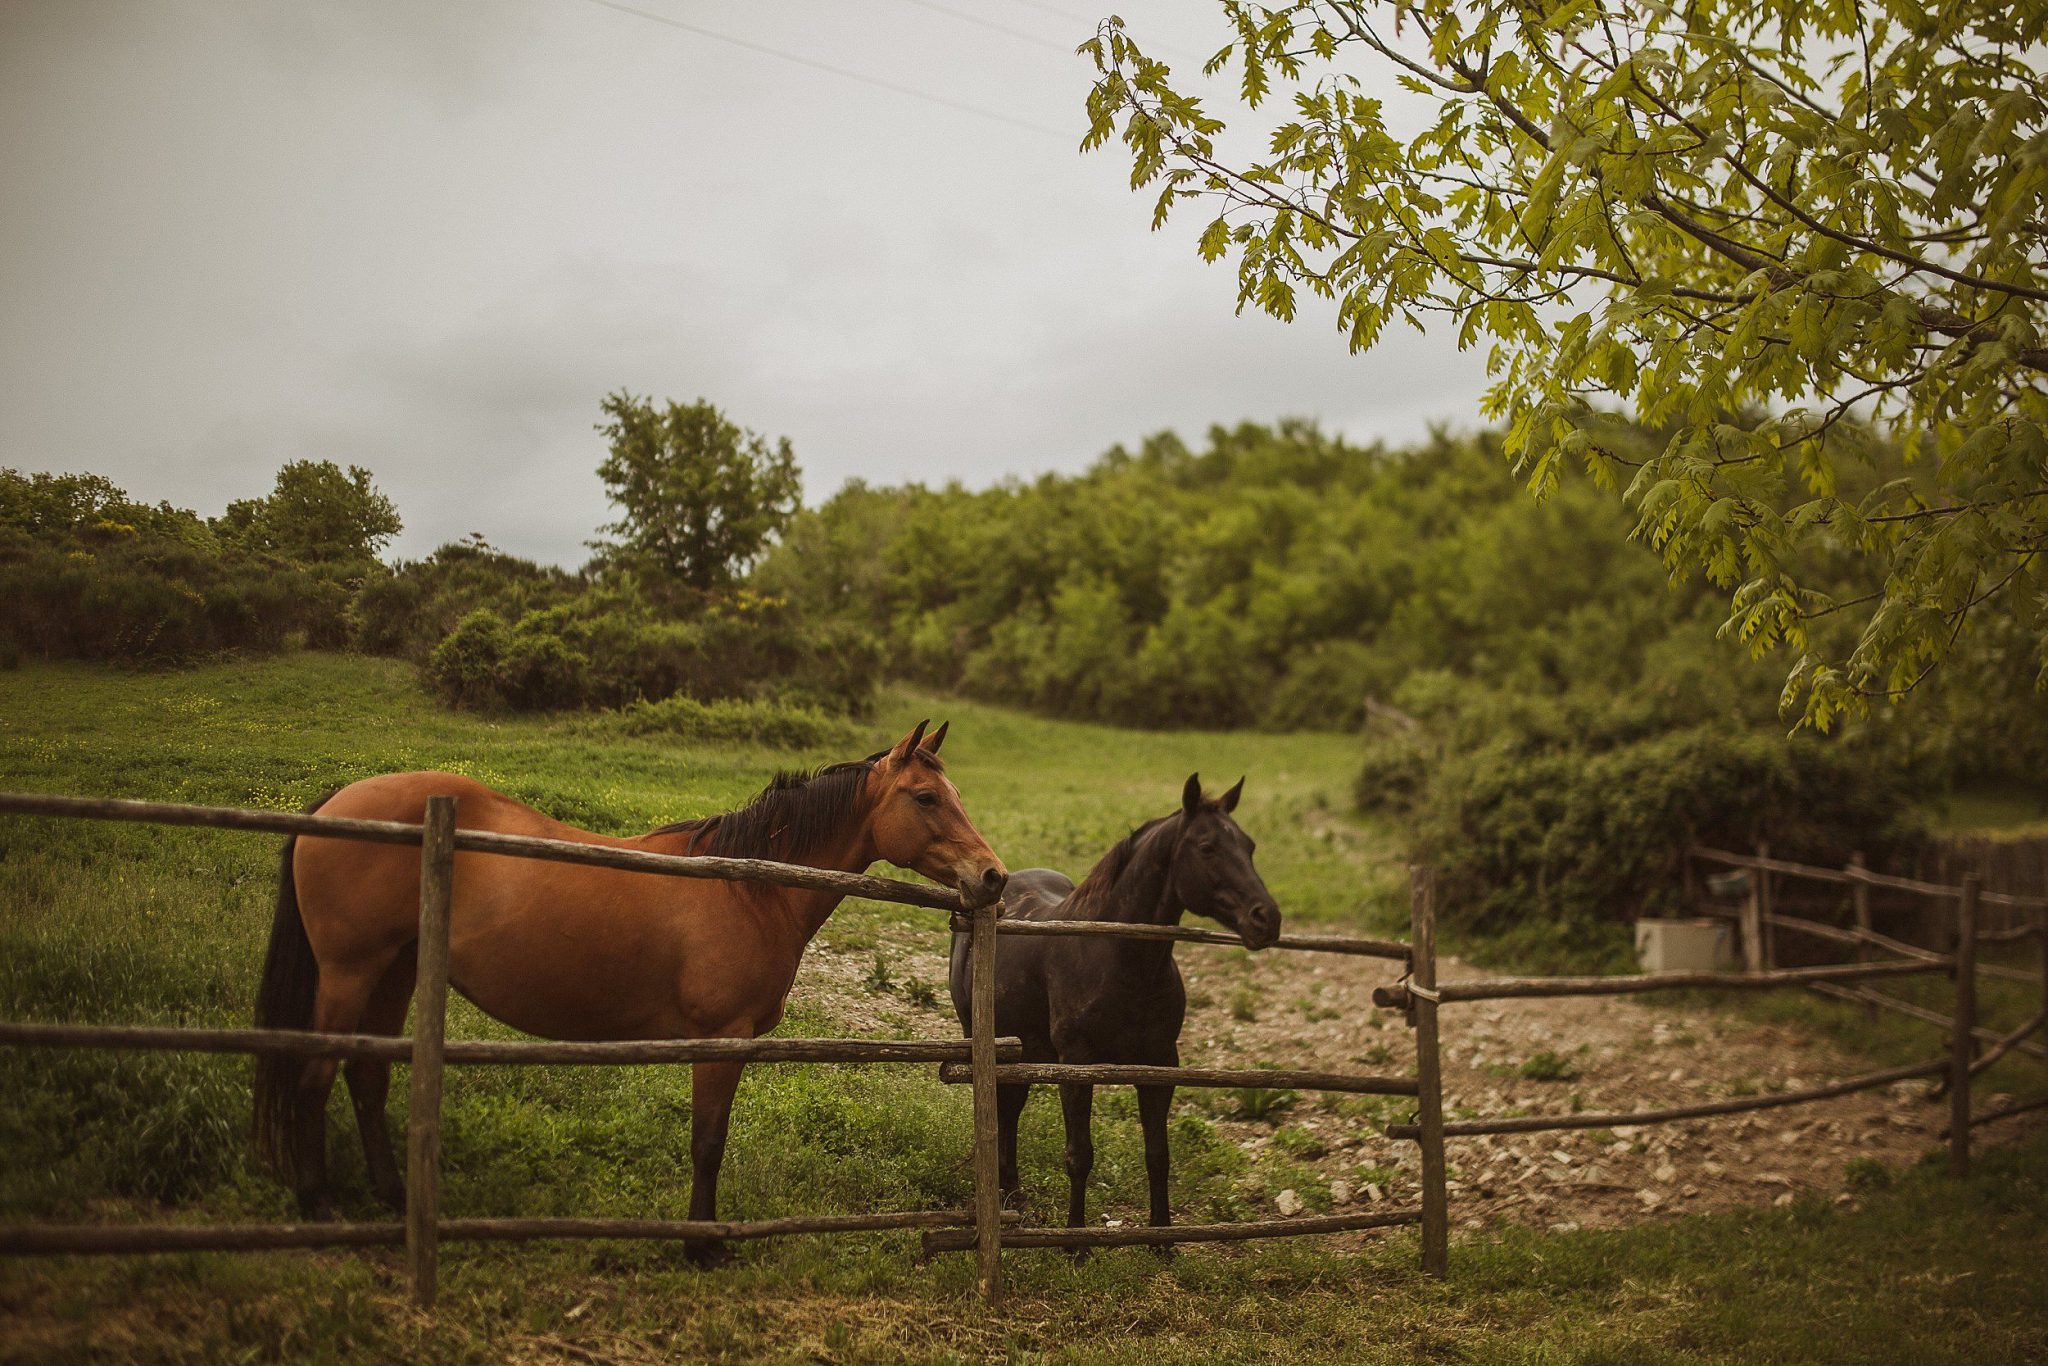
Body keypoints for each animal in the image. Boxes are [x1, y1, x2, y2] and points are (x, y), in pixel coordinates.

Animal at [251, 720, 1003, 1269]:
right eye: (926, 798)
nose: (992, 876)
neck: (746, 887)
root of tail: (338, 804)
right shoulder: (721, 1040)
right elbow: (708, 1142)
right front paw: (700, 1247)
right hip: (350, 973)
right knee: (314, 1075)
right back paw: (320, 1206)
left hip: (396, 970)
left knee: (367, 1074)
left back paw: (392, 1194)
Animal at [946, 778, 1277, 1236]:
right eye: (1207, 846)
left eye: (1249, 846)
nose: (1267, 919)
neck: (1119, 955)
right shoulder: (1076, 1064)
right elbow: (1079, 1155)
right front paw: (1076, 1240)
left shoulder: (1159, 1064)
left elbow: (1158, 1156)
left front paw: (1162, 1239)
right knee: (1000, 1110)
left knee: (1010, 1111)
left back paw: (1013, 1193)